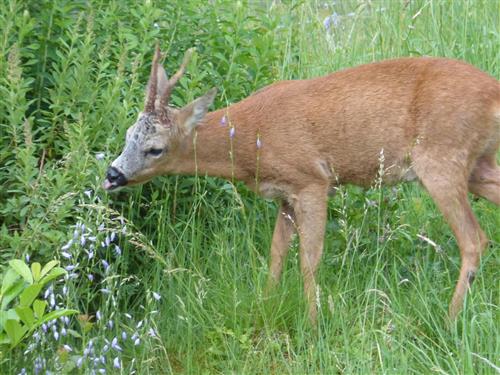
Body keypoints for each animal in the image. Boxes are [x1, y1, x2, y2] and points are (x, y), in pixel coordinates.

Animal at [103, 46, 498, 324]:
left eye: (155, 148)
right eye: (127, 134)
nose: (112, 175)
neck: (251, 141)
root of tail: (494, 91)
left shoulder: (313, 181)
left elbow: (309, 258)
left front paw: (312, 321)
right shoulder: (284, 195)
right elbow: (277, 252)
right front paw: (267, 302)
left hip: (441, 159)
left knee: (474, 239)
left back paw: (449, 320)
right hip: (477, 165)